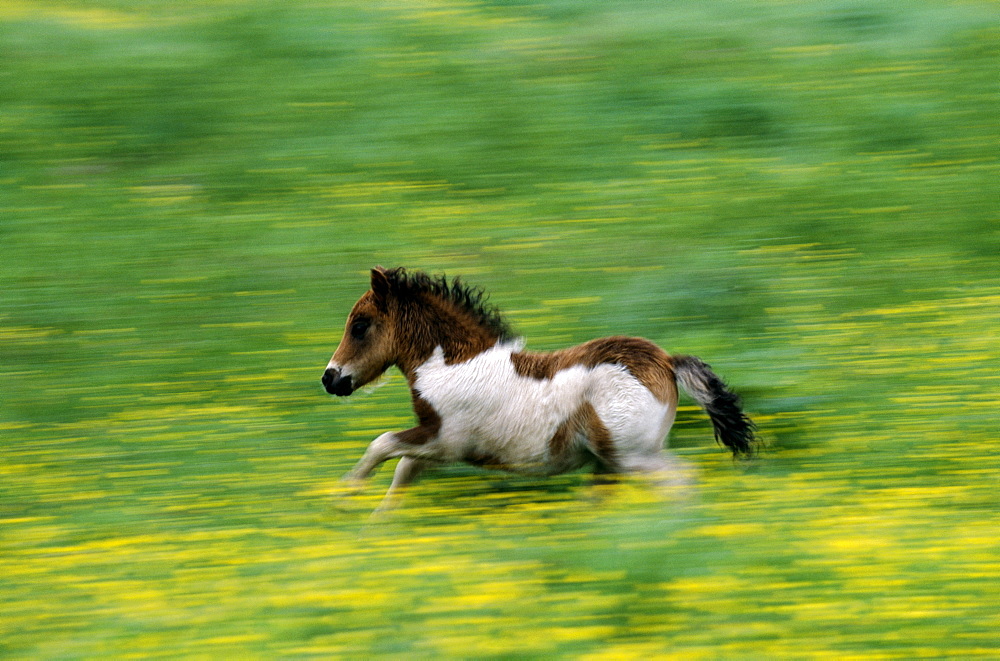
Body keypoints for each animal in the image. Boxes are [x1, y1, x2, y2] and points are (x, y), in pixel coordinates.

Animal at [324, 266, 752, 508]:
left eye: (359, 325)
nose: (330, 378)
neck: (451, 366)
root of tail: (665, 361)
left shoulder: (446, 440)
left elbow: (381, 445)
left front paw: (343, 497)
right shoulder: (436, 447)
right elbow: (402, 472)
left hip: (634, 456)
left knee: (682, 480)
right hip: (610, 463)